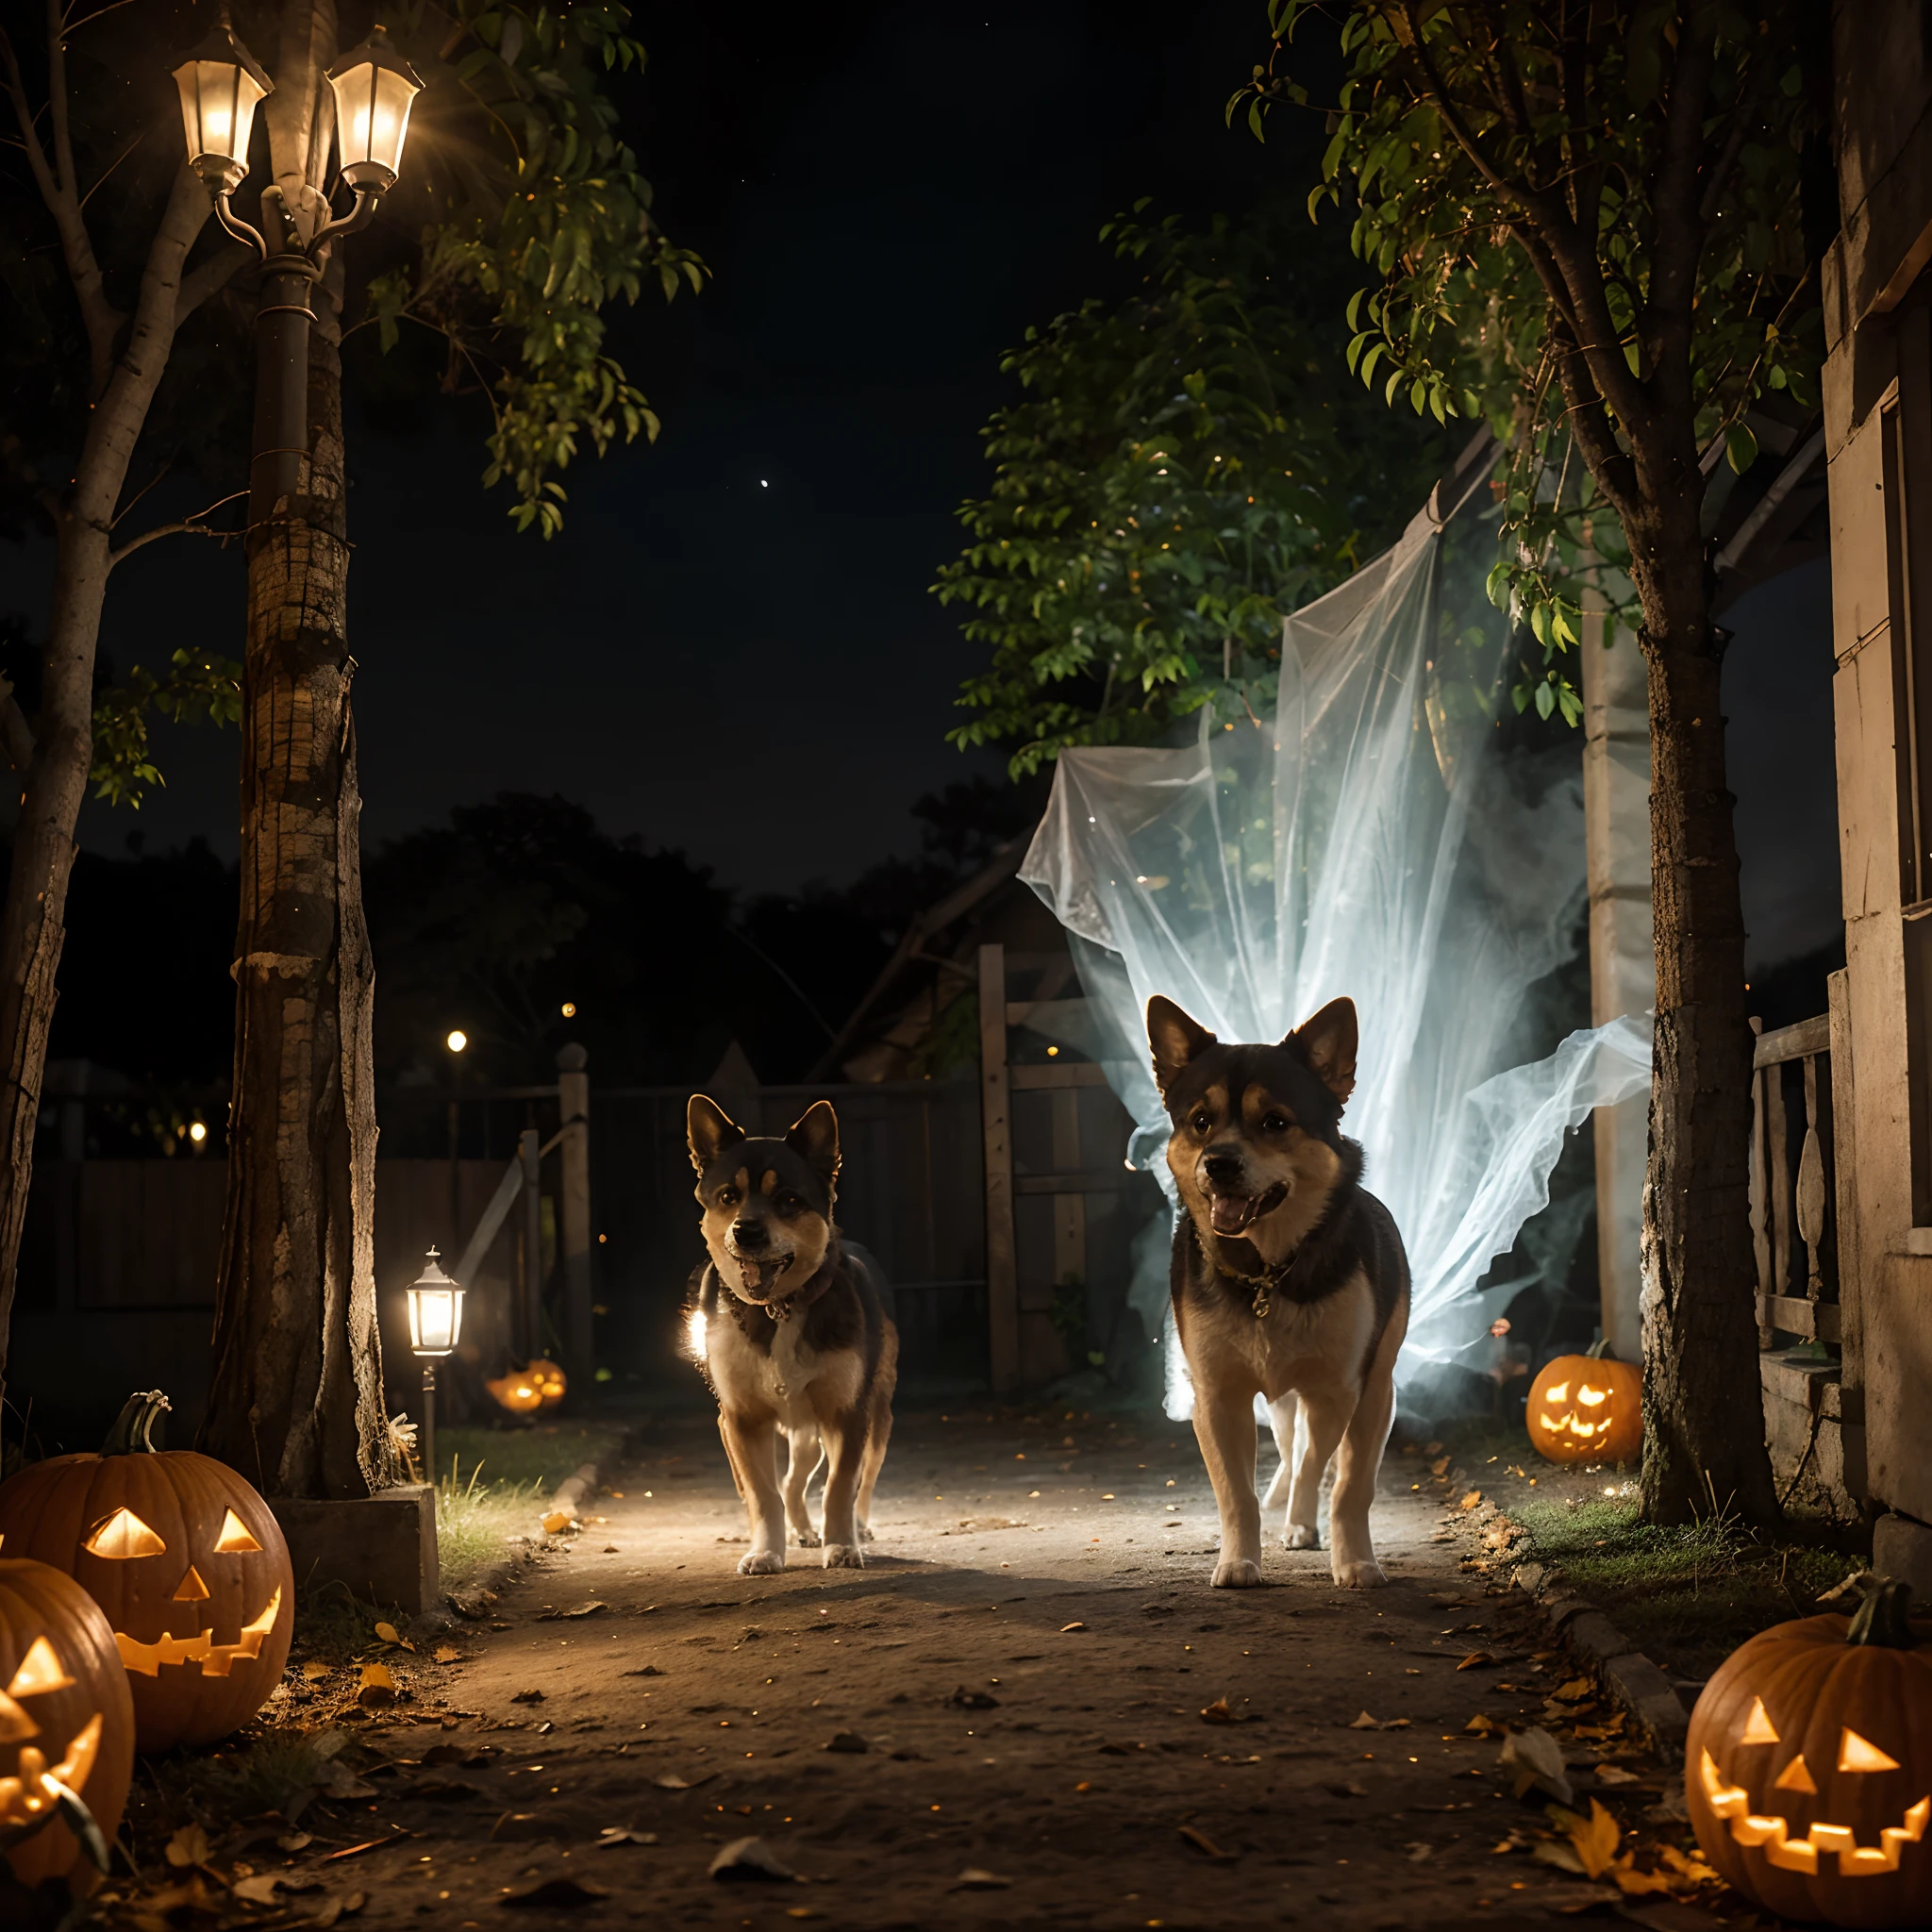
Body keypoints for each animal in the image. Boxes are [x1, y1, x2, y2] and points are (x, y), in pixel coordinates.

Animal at [683, 1105, 892, 1568]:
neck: (777, 1309)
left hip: (874, 1418)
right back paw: (802, 1531)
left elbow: (840, 1487)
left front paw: (842, 1544)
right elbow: (764, 1494)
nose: (746, 1231)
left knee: (862, 1479)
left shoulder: (846, 1414)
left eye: (790, 1200)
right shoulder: (741, 1419)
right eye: (728, 1196)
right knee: (792, 1483)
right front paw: (766, 1551)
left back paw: (856, 1527)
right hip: (801, 1432)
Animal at [1143, 989, 1406, 1591]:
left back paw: (1301, 1522)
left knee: (1310, 1457)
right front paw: (1239, 1561)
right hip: (1283, 1401)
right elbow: (1235, 1493)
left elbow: (1347, 1484)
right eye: (1200, 1121)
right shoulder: (1218, 1397)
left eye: (1275, 1121)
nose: (1219, 1163)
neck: (1267, 1269)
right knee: (1291, 1448)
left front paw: (1355, 1561)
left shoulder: (1353, 1391)